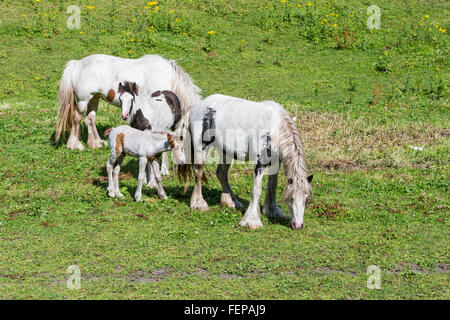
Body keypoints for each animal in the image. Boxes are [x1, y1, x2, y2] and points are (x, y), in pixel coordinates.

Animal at [55, 53, 200, 150]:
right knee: (76, 118)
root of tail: (77, 64)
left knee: (90, 119)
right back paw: (74, 145)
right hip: (83, 100)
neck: (167, 76)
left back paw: (96, 143)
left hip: (94, 98)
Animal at [176, 94, 312, 229]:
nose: (298, 225)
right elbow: (257, 190)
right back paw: (198, 204)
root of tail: (198, 106)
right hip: (201, 148)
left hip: (226, 152)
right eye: (291, 198)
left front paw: (272, 210)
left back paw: (231, 202)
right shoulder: (260, 163)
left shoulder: (275, 163)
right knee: (198, 173)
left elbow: (273, 185)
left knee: (221, 174)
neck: (274, 129)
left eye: (306, 198)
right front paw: (251, 221)